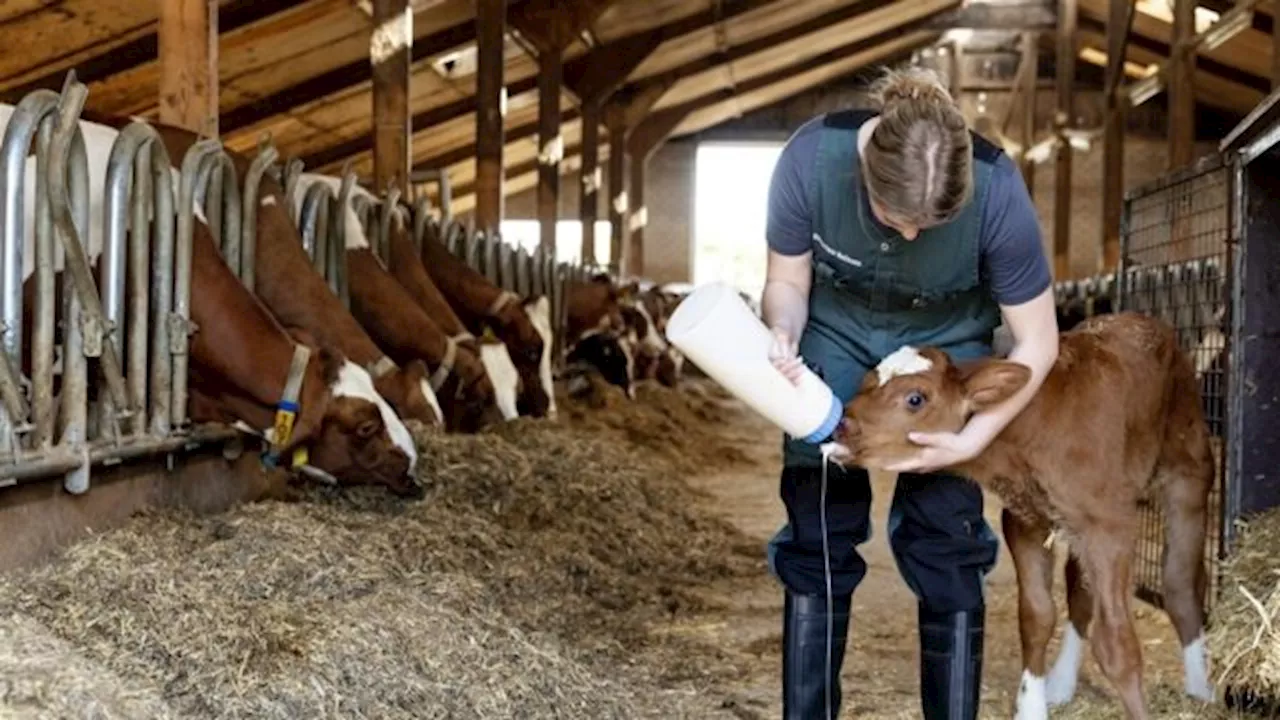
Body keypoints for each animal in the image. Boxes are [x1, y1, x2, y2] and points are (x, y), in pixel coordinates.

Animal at [824, 310, 1213, 717]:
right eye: (866, 382)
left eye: (915, 398)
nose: (843, 424)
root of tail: (1136, 316)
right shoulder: (1027, 519)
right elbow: (1036, 616)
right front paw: (1031, 705)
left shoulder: (1110, 525)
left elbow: (1117, 644)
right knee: (1080, 588)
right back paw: (1062, 682)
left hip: (1188, 469)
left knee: (1181, 583)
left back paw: (1200, 690)